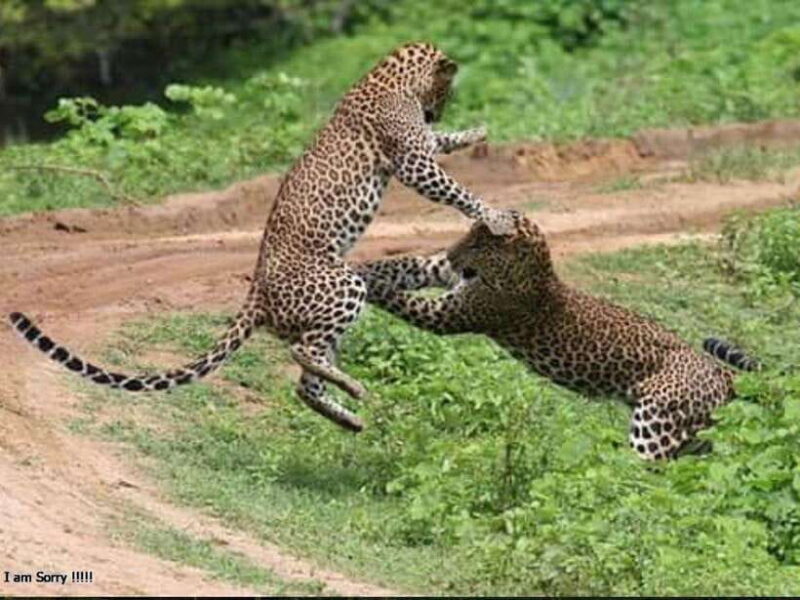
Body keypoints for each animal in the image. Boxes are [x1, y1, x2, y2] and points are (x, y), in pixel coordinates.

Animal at [8, 41, 513, 433]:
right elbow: (455, 188)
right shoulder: (412, 161)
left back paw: (349, 416)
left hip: (329, 309)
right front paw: (496, 216)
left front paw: (476, 131)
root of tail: (256, 293)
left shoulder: (420, 147)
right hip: (342, 286)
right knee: (302, 353)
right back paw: (352, 388)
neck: (389, 74)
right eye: (445, 90)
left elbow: (442, 143)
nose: (434, 111)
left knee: (305, 381)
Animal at [355, 210, 761, 459]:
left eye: (477, 243)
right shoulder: (447, 278)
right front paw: (361, 266)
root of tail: (718, 370)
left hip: (658, 418)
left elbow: (399, 297)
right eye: (466, 237)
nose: (454, 254)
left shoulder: (454, 314)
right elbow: (404, 265)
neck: (534, 268)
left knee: (647, 466)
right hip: (693, 430)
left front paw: (363, 282)